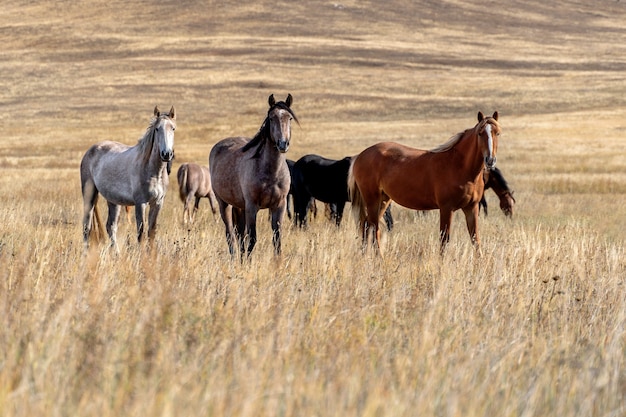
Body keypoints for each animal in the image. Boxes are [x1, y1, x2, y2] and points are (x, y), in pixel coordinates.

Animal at [210, 94, 298, 256]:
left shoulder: (279, 206)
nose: (283, 144)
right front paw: (248, 261)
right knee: (230, 234)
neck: (271, 173)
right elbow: (252, 238)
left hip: (239, 207)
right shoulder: (252, 207)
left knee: (239, 234)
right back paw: (234, 258)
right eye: (271, 118)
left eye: (289, 118)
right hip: (224, 204)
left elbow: (277, 240)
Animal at [348, 111, 500, 254]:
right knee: (373, 227)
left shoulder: (471, 208)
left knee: (368, 226)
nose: (490, 160)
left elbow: (475, 239)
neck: (459, 166)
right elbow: (444, 240)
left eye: (497, 133)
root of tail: (360, 156)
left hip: (384, 200)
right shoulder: (446, 208)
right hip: (372, 200)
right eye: (480, 133)